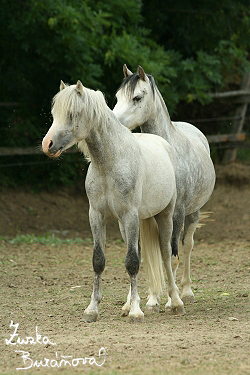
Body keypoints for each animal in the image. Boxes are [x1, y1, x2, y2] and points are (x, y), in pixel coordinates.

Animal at [42, 81, 185, 324]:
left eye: (72, 114)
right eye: (54, 114)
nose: (47, 144)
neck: (109, 164)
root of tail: (162, 143)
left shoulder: (130, 215)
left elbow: (132, 262)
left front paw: (136, 313)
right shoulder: (97, 216)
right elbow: (99, 261)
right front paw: (92, 309)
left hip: (164, 216)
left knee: (166, 255)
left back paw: (175, 303)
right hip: (125, 224)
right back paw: (128, 305)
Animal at [114, 65, 216, 312]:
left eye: (137, 97)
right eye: (117, 97)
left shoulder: (175, 213)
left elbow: (172, 255)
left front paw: (172, 299)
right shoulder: (143, 216)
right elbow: (145, 258)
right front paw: (143, 301)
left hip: (193, 213)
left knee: (187, 246)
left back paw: (186, 291)